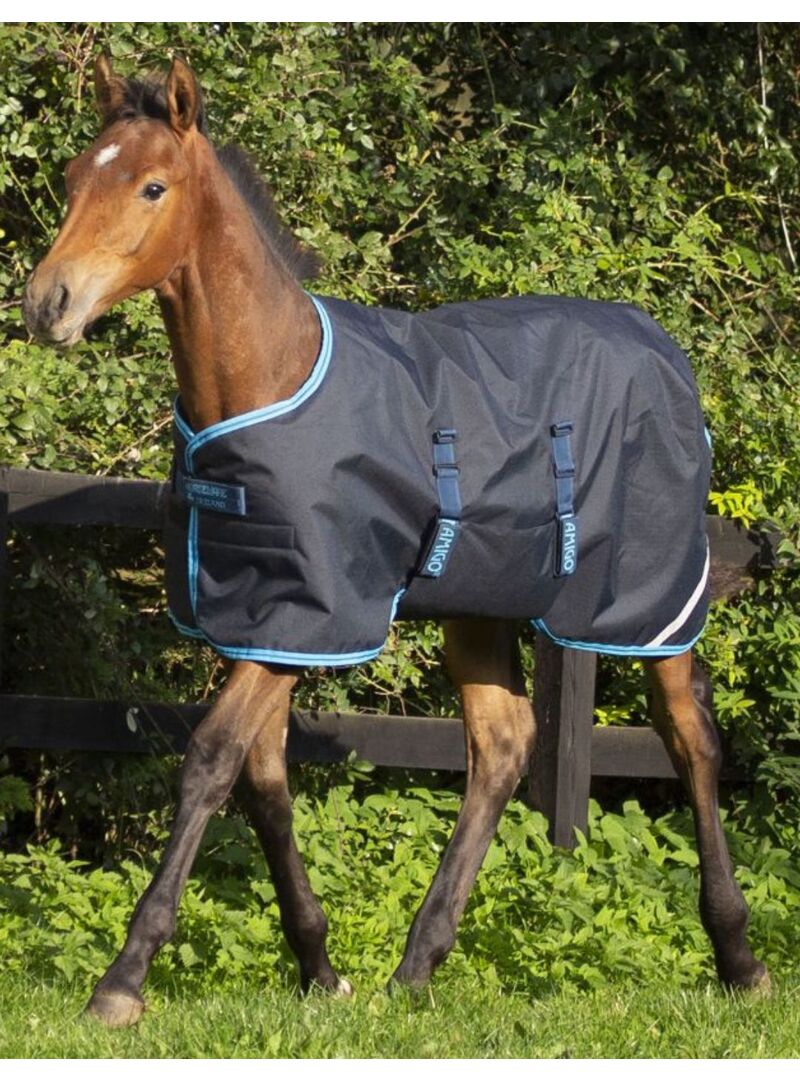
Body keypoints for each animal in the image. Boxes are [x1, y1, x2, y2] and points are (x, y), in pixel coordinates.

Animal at [22, 55, 769, 1027]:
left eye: (152, 186)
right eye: (77, 177)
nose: (48, 304)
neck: (271, 377)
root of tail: (666, 352)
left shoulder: (314, 614)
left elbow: (212, 760)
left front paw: (122, 981)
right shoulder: (265, 616)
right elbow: (263, 777)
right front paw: (320, 967)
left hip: (650, 601)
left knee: (690, 739)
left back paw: (740, 959)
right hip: (480, 604)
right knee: (503, 744)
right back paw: (417, 965)